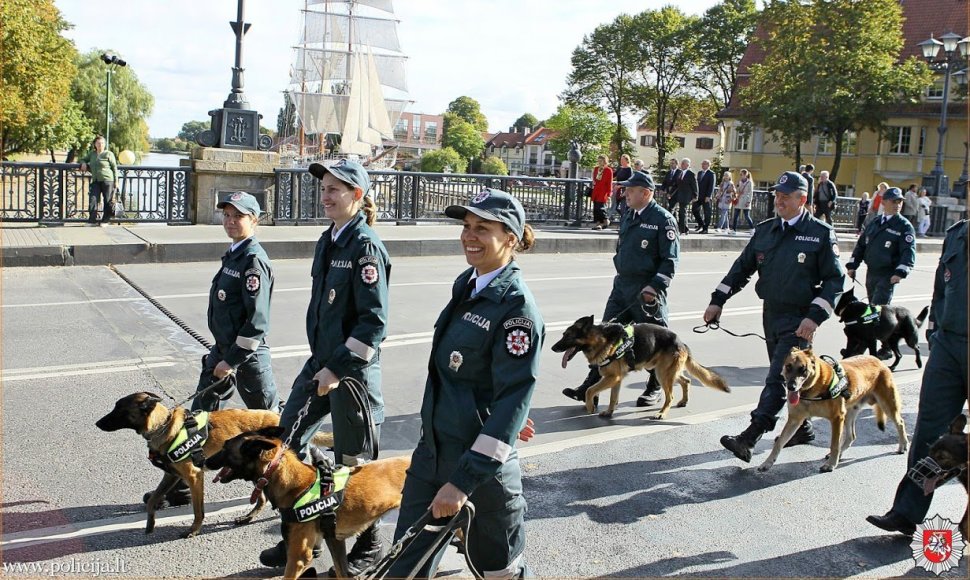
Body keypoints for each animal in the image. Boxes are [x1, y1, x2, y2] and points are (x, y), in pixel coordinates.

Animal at [95, 392, 280, 536]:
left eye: (119, 409)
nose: (97, 423)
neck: (163, 426)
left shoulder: (194, 476)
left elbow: (198, 510)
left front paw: (194, 530)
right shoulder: (171, 475)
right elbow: (152, 501)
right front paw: (150, 524)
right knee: (262, 498)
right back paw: (248, 517)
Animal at [207, 426, 408, 580]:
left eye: (225, 447)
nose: (204, 460)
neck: (291, 480)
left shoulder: (298, 557)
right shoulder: (334, 540)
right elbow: (341, 571)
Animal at [548, 314, 728, 420]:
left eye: (567, 336)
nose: (552, 348)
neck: (600, 339)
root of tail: (680, 342)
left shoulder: (612, 378)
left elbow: (590, 390)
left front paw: (590, 406)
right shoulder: (616, 379)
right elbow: (613, 397)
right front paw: (609, 412)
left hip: (662, 373)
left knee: (670, 396)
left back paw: (662, 413)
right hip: (665, 371)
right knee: (686, 381)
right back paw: (684, 401)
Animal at [756, 346, 908, 474]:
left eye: (803, 369)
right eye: (788, 367)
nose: (791, 387)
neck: (813, 388)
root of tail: (877, 360)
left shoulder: (836, 418)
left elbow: (834, 444)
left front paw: (830, 464)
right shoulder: (794, 420)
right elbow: (779, 443)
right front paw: (767, 463)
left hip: (887, 405)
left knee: (900, 422)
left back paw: (903, 445)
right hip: (849, 414)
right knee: (851, 436)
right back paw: (839, 454)